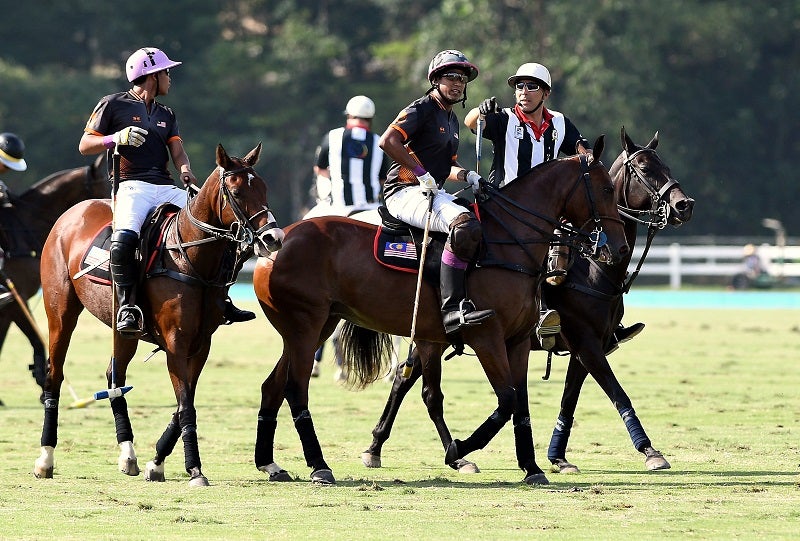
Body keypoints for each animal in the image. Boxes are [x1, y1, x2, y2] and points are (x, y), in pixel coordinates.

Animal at [34, 142, 284, 486]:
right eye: (236, 191)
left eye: (263, 187)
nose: (274, 238)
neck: (191, 257)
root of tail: (69, 214)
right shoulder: (176, 343)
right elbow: (186, 405)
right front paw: (195, 470)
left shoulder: (201, 345)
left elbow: (183, 404)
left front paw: (156, 463)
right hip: (61, 313)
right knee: (54, 375)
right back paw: (45, 458)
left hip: (122, 328)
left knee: (115, 377)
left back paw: (128, 455)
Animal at [253, 136, 628, 486]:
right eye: (607, 188)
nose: (621, 248)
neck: (508, 243)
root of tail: (273, 244)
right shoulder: (486, 337)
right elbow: (506, 400)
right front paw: (459, 449)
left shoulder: (518, 340)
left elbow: (520, 404)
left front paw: (532, 468)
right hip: (305, 325)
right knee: (295, 388)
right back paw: (319, 465)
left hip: (316, 326)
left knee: (273, 386)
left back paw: (269, 463)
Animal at [362, 125, 692, 472]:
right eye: (644, 168)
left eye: (665, 165)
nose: (685, 205)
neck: (593, 267)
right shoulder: (585, 343)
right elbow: (618, 392)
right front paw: (650, 451)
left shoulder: (589, 346)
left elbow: (569, 400)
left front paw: (558, 457)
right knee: (410, 382)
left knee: (405, 378)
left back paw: (385, 447)